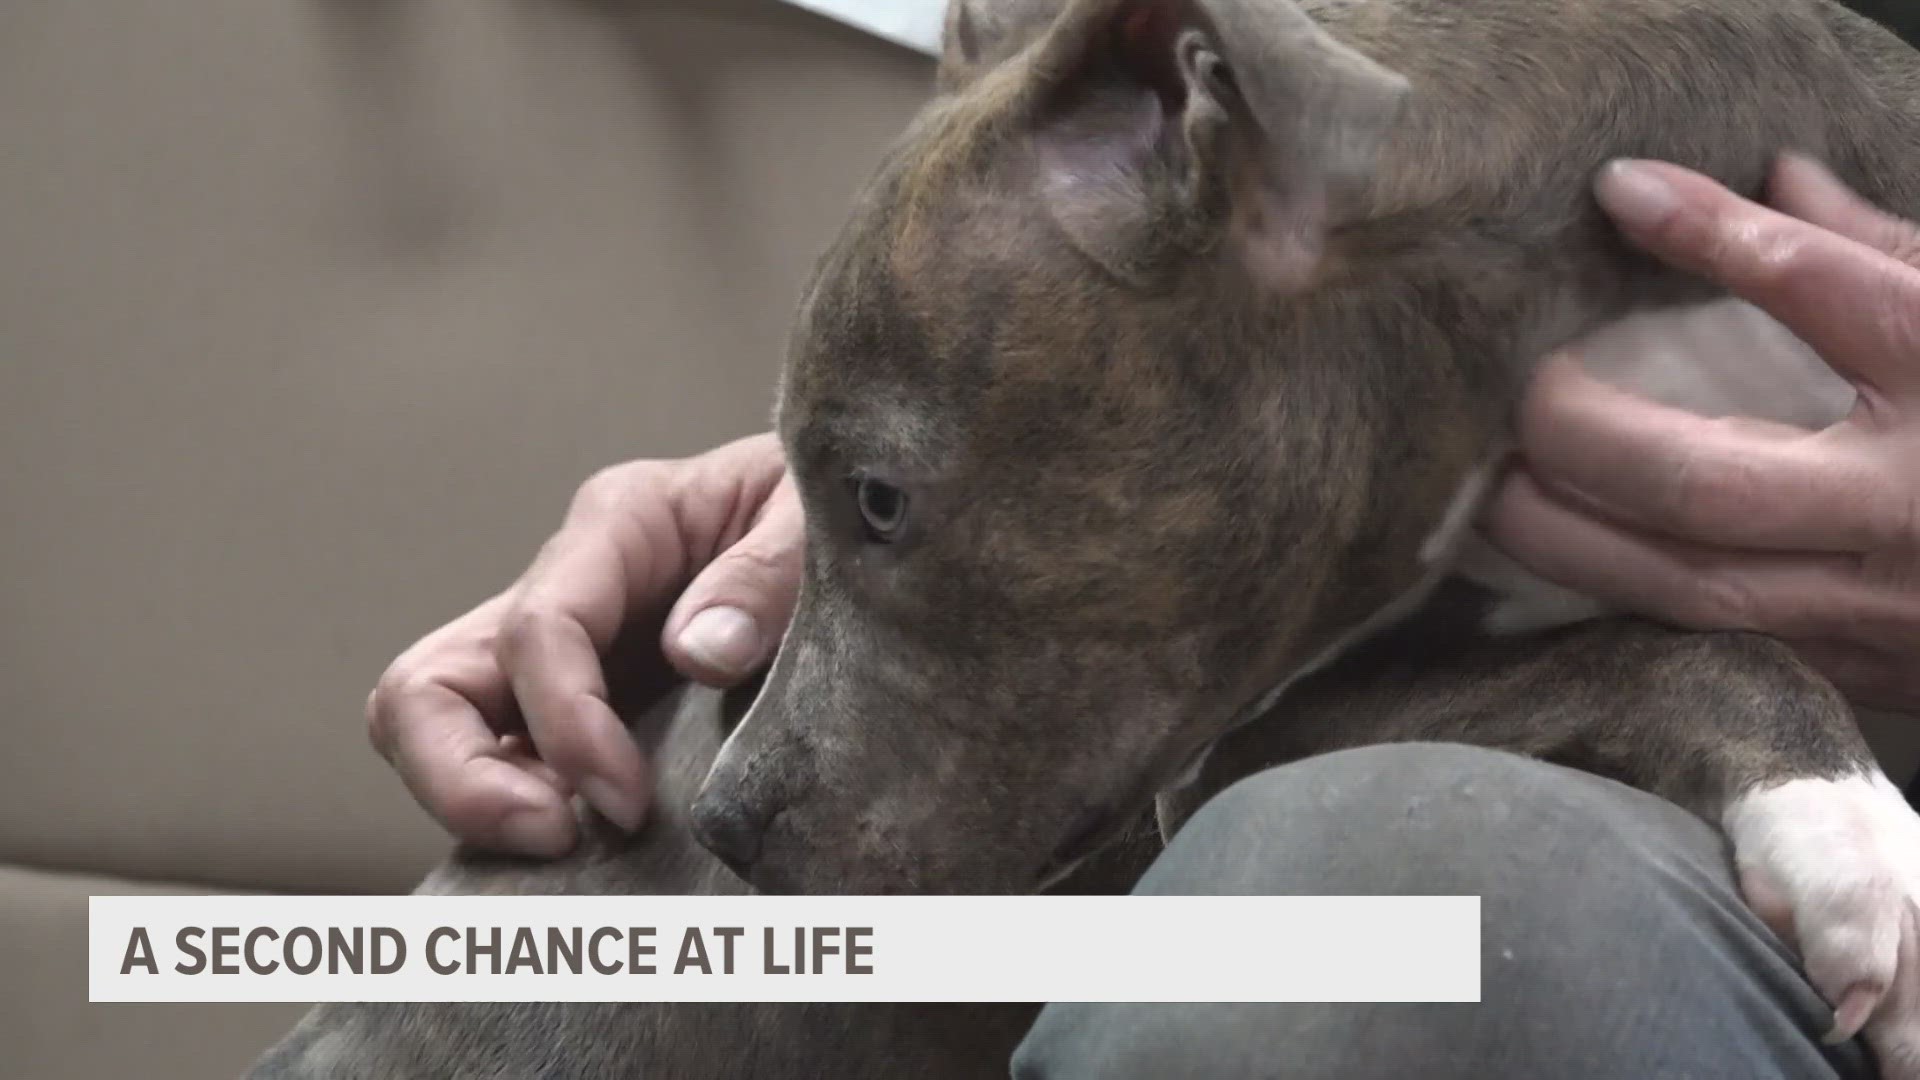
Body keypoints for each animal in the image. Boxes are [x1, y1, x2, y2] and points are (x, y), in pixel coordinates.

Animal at [247, 0, 1920, 1068]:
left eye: (879, 497)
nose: (718, 821)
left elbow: (1659, 627)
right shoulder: (1218, 756)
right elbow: (1677, 635)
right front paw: (1856, 842)